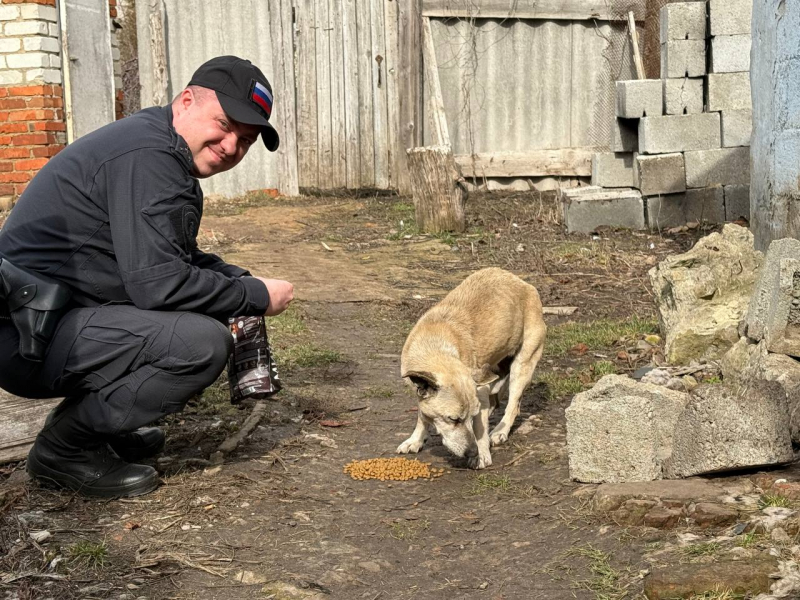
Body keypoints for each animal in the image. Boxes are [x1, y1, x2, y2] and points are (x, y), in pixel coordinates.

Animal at [396, 268, 548, 468]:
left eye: (468, 416)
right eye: (453, 419)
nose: (471, 451)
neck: (435, 347)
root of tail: (524, 283)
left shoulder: (479, 394)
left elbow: (479, 428)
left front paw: (481, 454)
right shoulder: (420, 392)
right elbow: (422, 415)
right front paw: (415, 440)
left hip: (523, 364)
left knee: (512, 404)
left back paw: (500, 431)